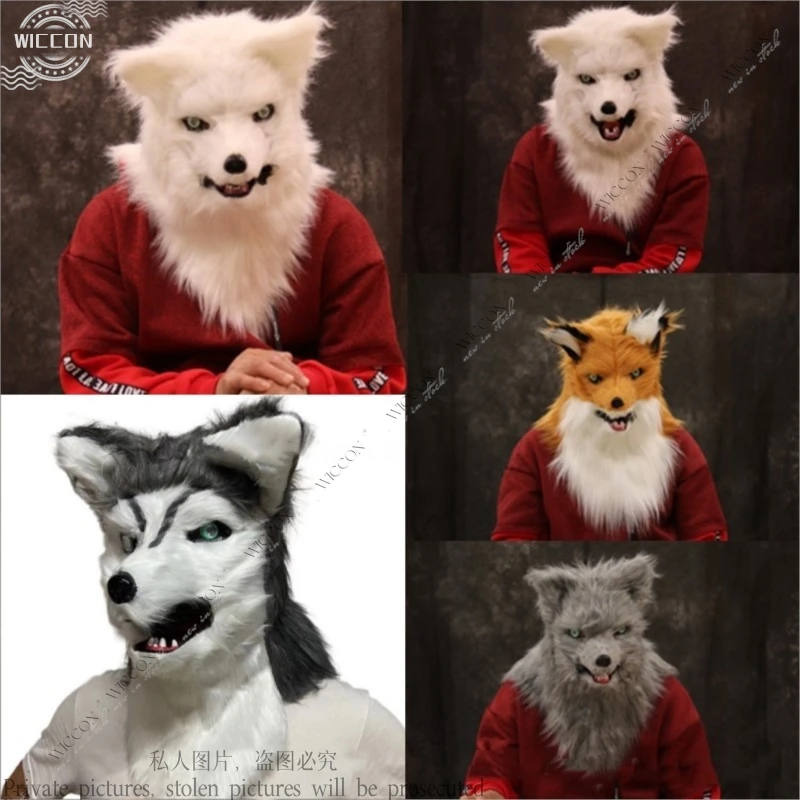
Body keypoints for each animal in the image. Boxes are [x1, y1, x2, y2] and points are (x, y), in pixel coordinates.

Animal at [492, 303, 727, 541]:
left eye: (636, 373)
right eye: (594, 378)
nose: (617, 402)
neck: (615, 448)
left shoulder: (694, 462)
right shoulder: (521, 465)